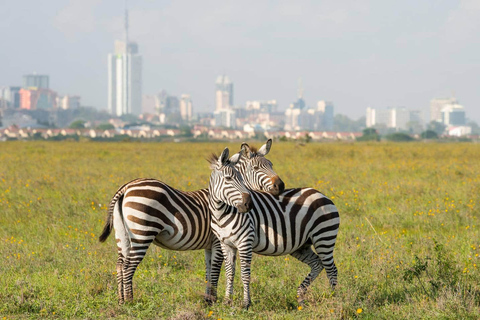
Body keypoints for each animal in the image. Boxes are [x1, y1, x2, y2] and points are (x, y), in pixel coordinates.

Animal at [99, 141, 284, 304]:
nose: (280, 186)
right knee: (128, 267)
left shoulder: (209, 245)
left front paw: (208, 299)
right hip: (142, 233)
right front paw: (213, 300)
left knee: (120, 265)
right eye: (257, 168)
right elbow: (216, 270)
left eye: (271, 164)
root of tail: (126, 187)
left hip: (122, 235)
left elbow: (209, 271)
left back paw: (121, 301)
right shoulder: (218, 242)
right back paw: (130, 301)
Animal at [210, 147, 342, 308]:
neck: (221, 213)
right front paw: (227, 301)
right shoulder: (226, 244)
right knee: (317, 264)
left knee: (331, 269)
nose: (248, 204)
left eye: (241, 178)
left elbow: (245, 274)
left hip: (324, 237)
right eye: (228, 179)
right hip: (302, 246)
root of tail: (322, 195)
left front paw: (246, 303)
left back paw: (333, 300)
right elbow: (229, 273)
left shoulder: (245, 242)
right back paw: (301, 298)